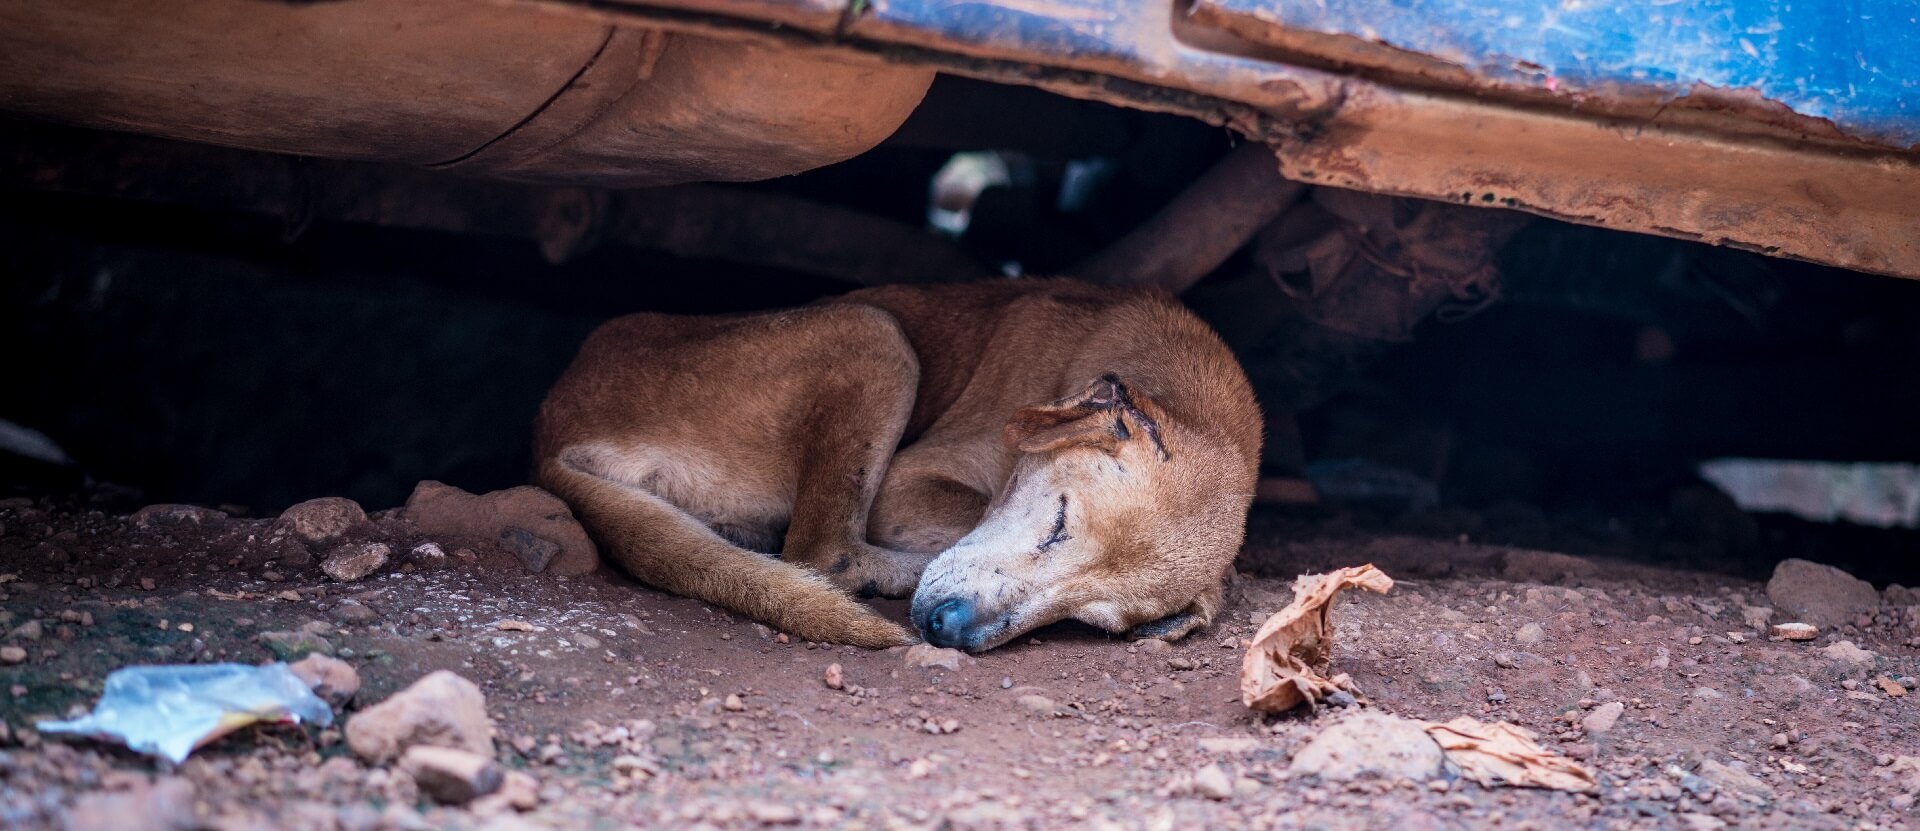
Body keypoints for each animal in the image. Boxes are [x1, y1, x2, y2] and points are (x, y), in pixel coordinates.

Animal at [533, 276, 1267, 648]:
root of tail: (547, 431)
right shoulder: (909, 482)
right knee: (821, 552)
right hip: (876, 335)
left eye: (1091, 621)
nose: (952, 631)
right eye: (1059, 522)